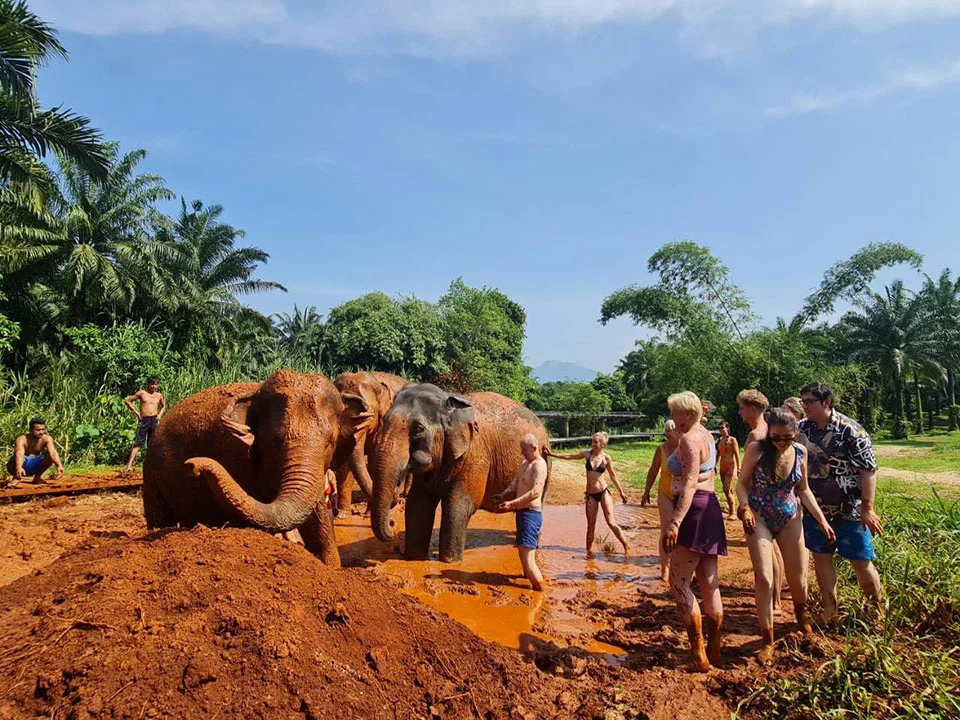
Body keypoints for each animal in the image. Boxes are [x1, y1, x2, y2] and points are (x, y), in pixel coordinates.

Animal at [142, 370, 363, 566]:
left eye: (330, 442)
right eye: (275, 441)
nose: (191, 465)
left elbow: (316, 515)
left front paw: (330, 565)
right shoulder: (234, 452)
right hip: (151, 475)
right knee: (159, 517)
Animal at [332, 371, 408, 517]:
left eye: (370, 416)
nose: (394, 495)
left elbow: (374, 463)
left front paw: (367, 515)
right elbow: (344, 467)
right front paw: (343, 516)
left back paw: (404, 496)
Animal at [369, 383, 551, 563]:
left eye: (418, 429)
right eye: (384, 421)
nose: (392, 524)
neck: (447, 399)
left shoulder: (476, 456)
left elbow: (459, 504)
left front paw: (450, 562)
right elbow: (418, 502)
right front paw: (414, 558)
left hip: (544, 462)